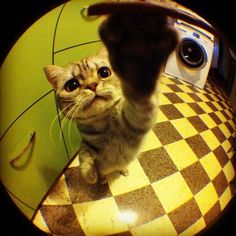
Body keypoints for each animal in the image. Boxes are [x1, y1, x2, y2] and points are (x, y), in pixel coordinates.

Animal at [44, 13, 178, 184]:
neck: (103, 127)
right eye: (72, 85)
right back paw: (102, 179)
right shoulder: (86, 144)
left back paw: (123, 170)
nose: (92, 85)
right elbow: (83, 154)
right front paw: (89, 173)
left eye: (104, 72)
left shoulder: (136, 123)